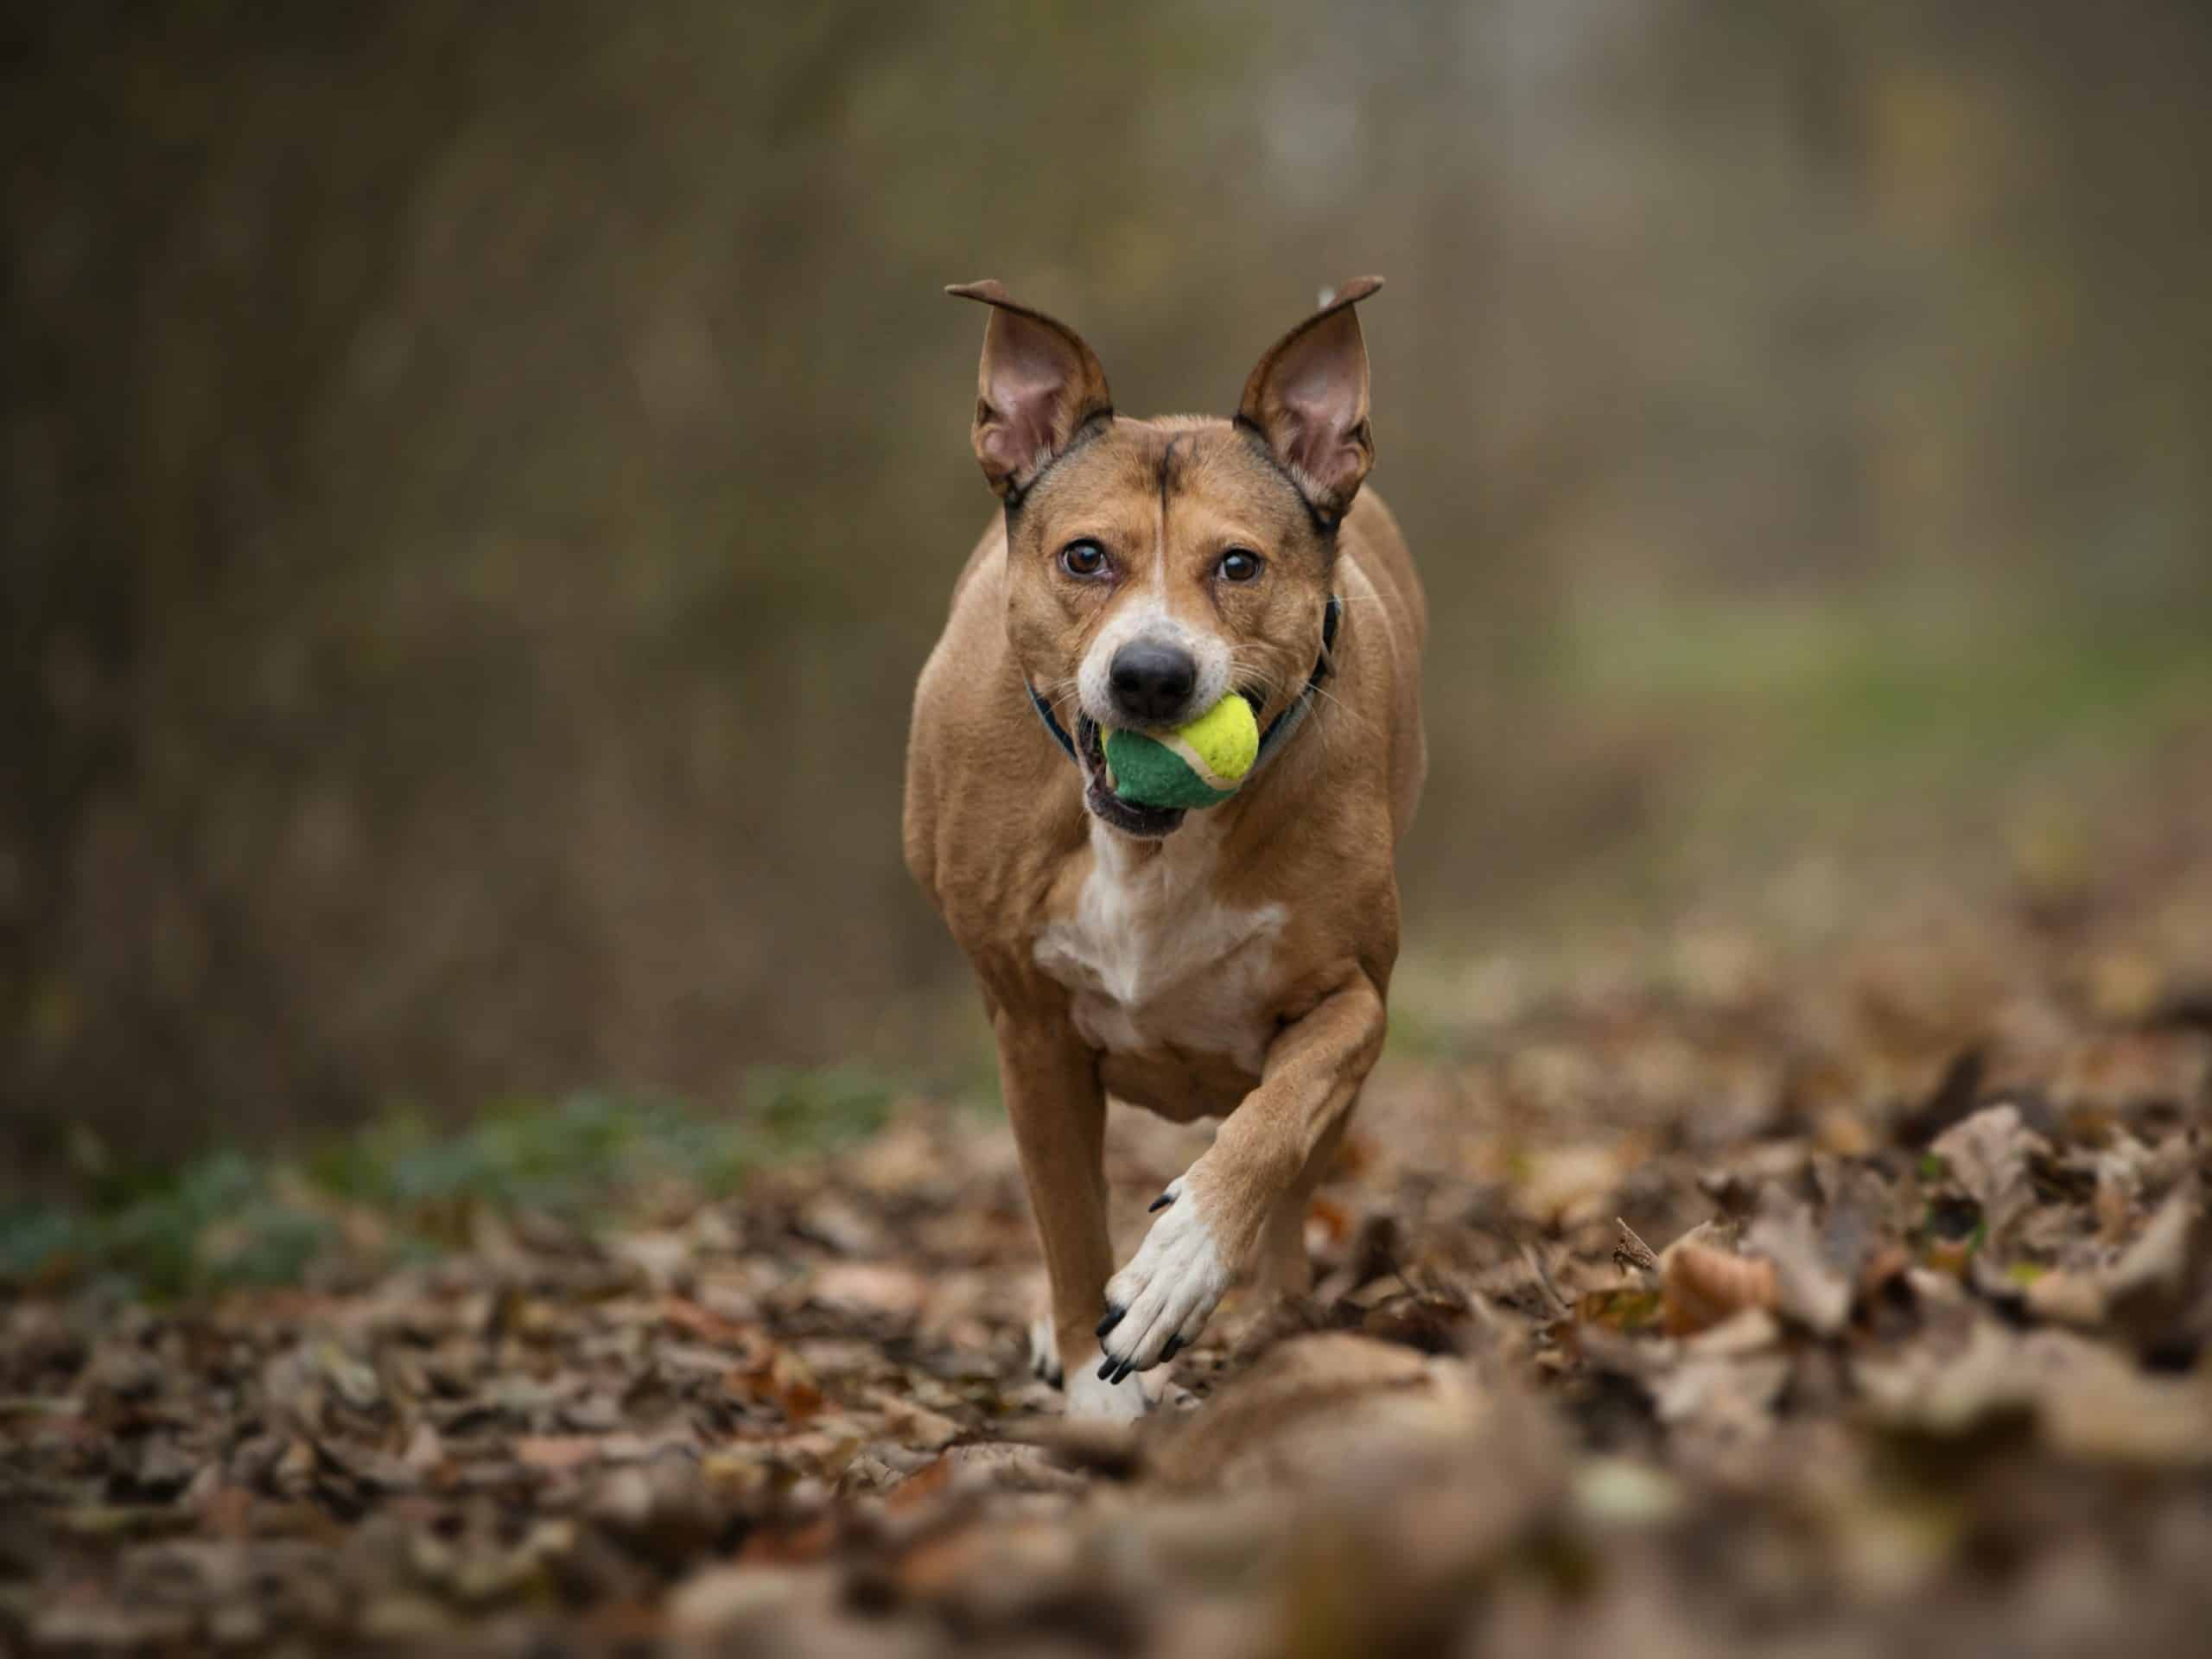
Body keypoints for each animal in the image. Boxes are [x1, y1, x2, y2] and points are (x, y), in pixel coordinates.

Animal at [903, 278, 1426, 1418]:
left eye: (1237, 565)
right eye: (1084, 558)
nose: (1149, 674)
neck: (1150, 849)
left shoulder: (1352, 998)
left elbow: (1275, 1124)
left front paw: (1183, 1263)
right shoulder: (1031, 1029)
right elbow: (1065, 1220)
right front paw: (1095, 1396)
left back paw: (1275, 1316)